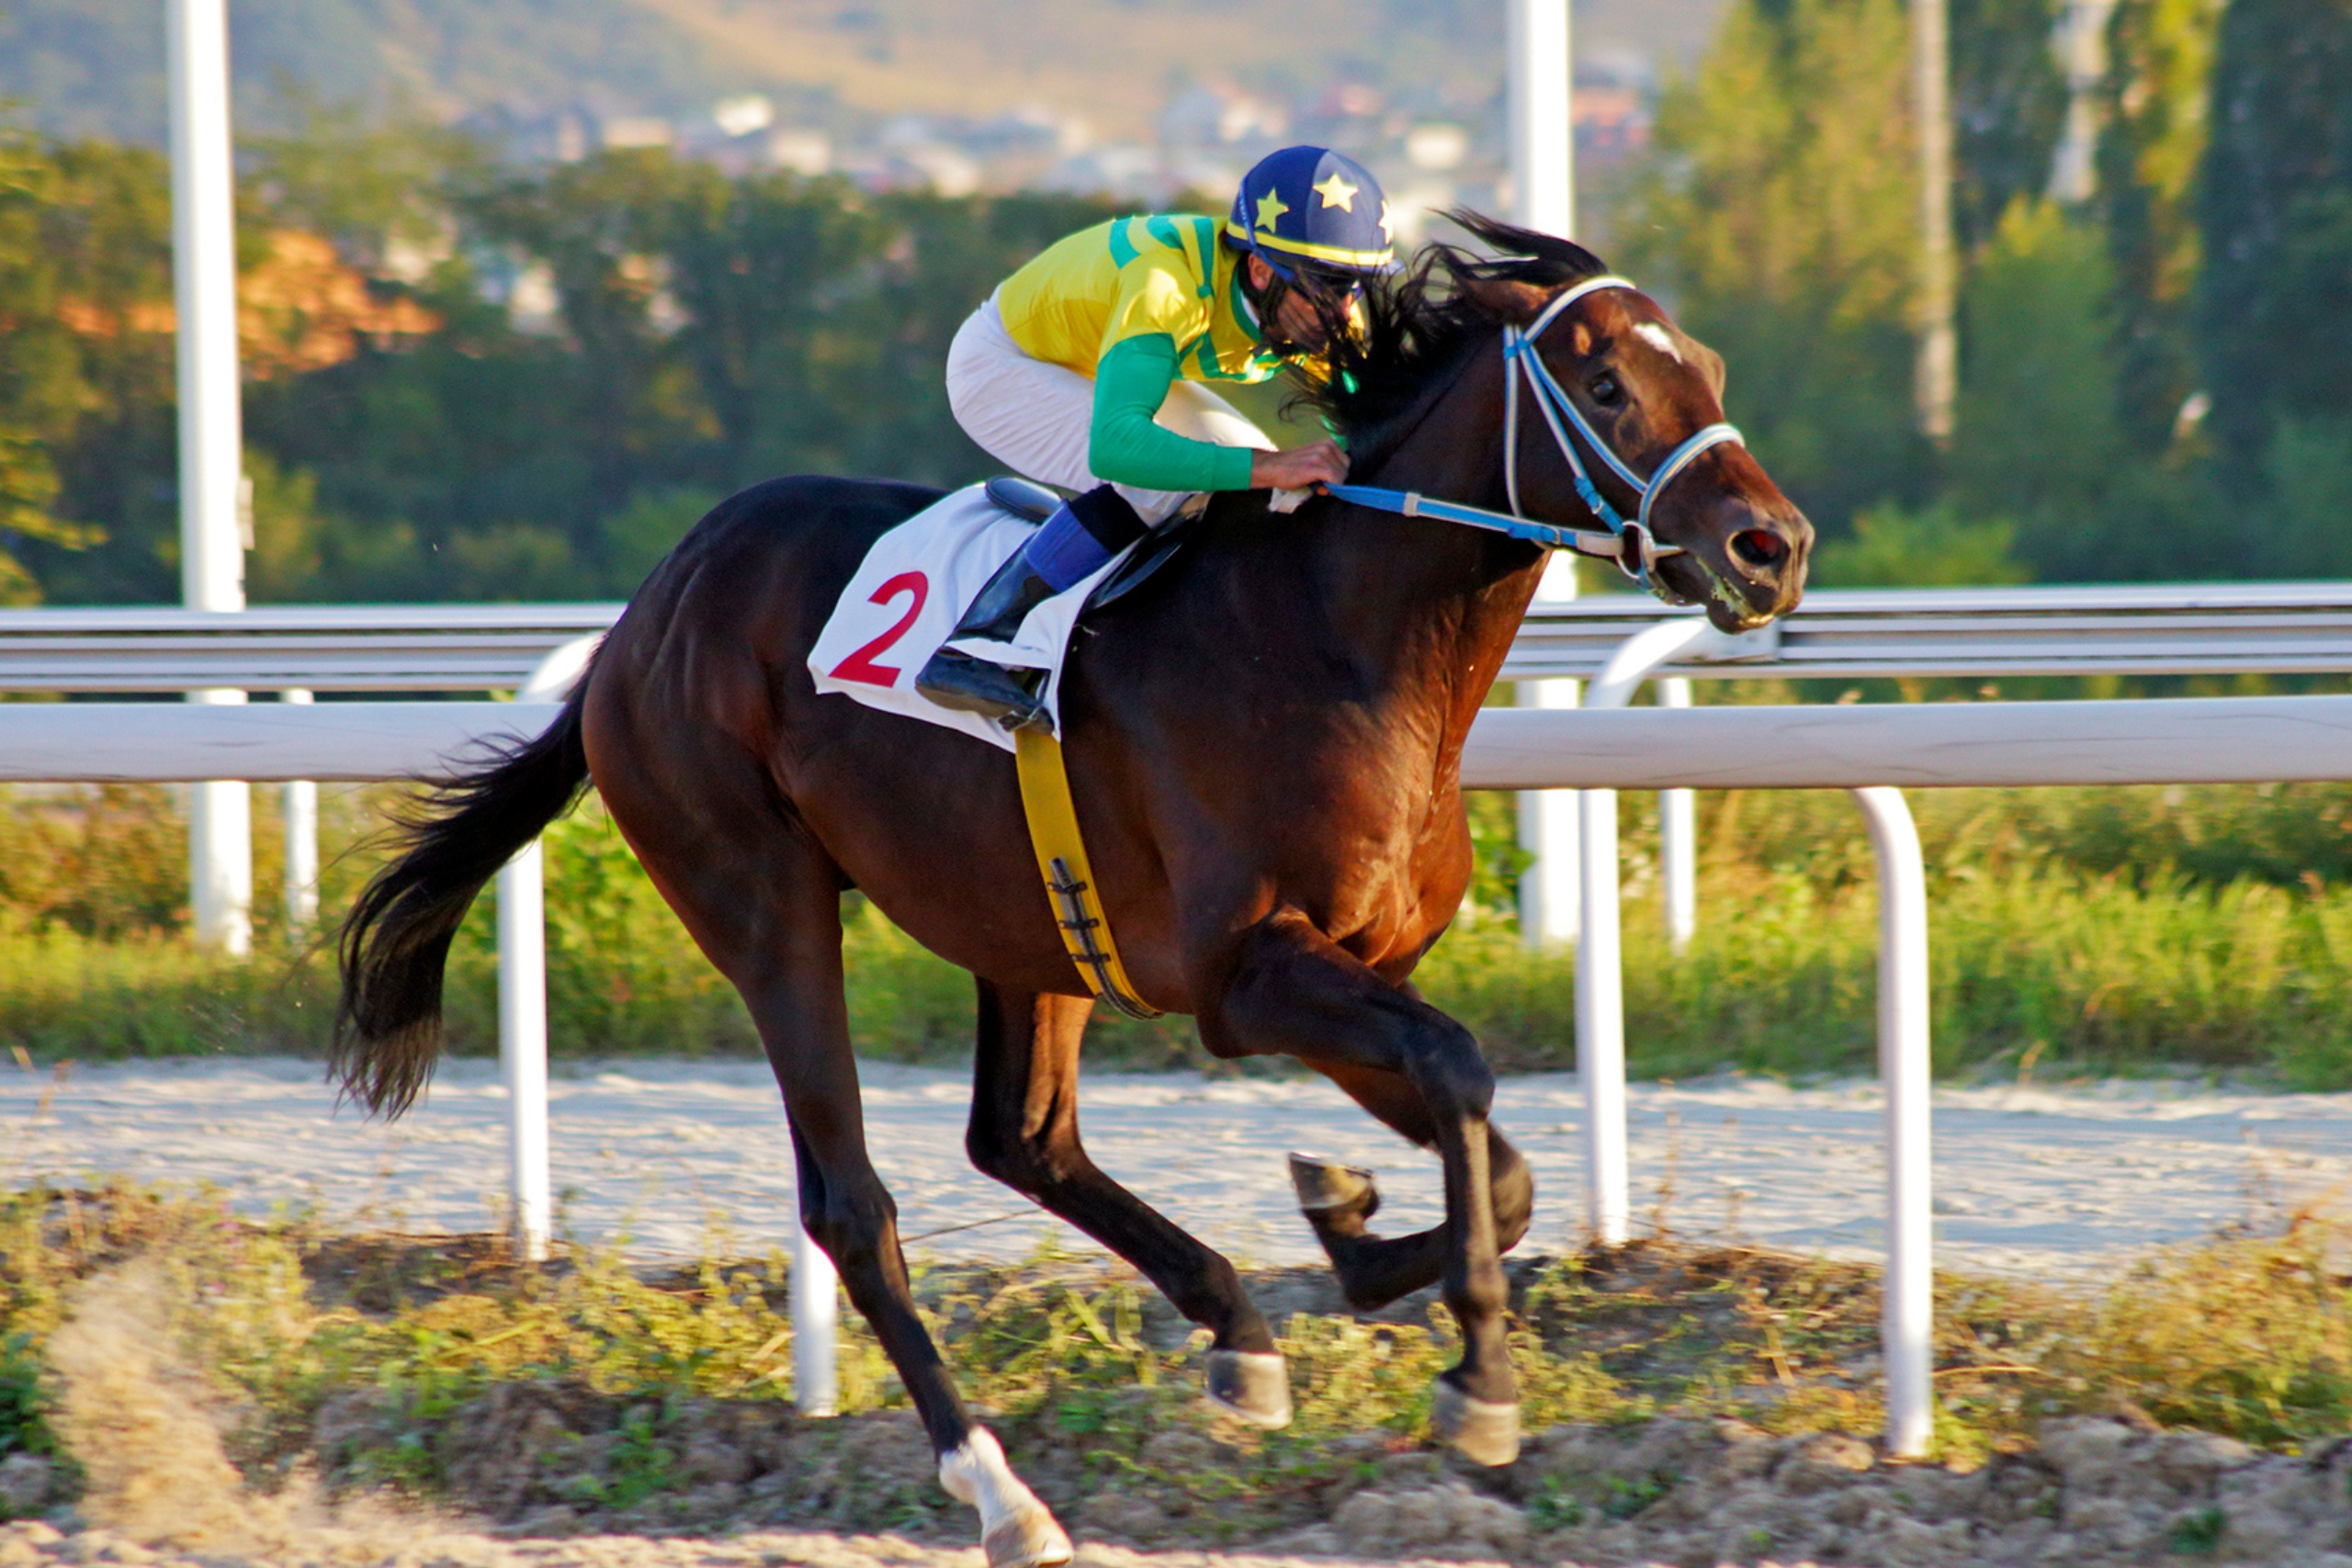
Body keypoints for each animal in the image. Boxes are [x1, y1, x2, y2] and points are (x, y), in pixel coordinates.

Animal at [332, 215, 1811, 1566]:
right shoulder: (1245, 974)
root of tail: (642, 618)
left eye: (1709, 367)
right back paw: (1004, 1494)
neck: (1340, 641)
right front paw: (1479, 1378)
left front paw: (1350, 1227)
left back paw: (1236, 1330)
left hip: (1028, 924)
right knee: (853, 1206)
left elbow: (1493, 1156)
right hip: (759, 895)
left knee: (1023, 1139)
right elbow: (1459, 1076)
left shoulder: (1354, 964)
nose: (1772, 547)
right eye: (1606, 382)